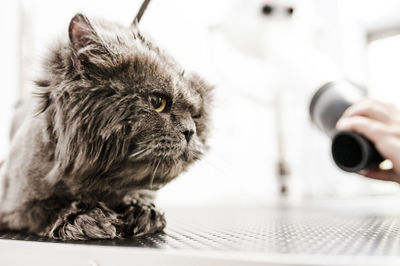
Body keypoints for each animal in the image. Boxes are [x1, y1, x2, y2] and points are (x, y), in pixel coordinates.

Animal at [0, 13, 212, 240]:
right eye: (157, 102)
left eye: (195, 115)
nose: (190, 131)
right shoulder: (15, 203)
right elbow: (42, 210)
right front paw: (84, 218)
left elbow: (138, 195)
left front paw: (141, 212)